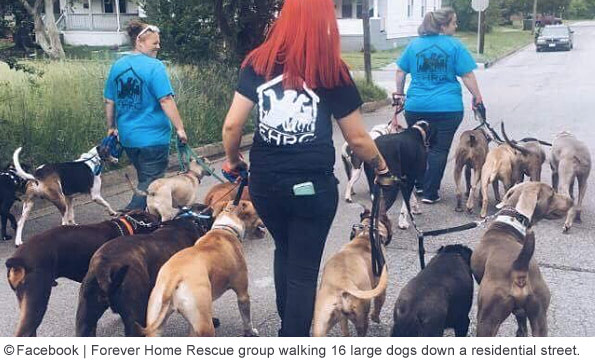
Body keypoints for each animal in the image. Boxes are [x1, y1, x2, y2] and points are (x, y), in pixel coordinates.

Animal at [141, 201, 262, 336]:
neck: (225, 229)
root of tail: (173, 278)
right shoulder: (243, 295)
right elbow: (247, 319)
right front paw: (250, 332)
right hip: (205, 326)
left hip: (159, 324)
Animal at [472, 183, 576, 338]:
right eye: (552, 194)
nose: (571, 201)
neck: (510, 224)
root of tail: (519, 267)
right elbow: (521, 317)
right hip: (540, 314)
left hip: (486, 320)